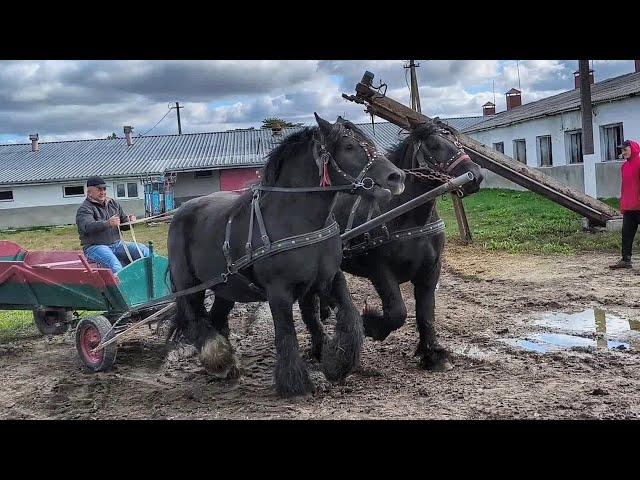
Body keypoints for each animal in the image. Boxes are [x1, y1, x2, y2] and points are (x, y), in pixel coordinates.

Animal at [165, 113, 404, 398]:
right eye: (348, 146)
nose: (397, 177)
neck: (297, 221)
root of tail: (180, 212)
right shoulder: (278, 291)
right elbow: (286, 332)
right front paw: (295, 384)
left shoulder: (331, 278)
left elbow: (351, 318)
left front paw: (337, 365)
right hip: (190, 285)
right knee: (196, 320)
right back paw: (219, 359)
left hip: (226, 286)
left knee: (216, 318)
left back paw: (227, 364)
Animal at [302, 119, 482, 372]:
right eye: (434, 145)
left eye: (457, 142)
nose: (475, 175)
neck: (404, 215)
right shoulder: (380, 271)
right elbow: (397, 312)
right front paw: (370, 324)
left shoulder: (431, 270)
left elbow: (426, 313)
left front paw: (433, 355)